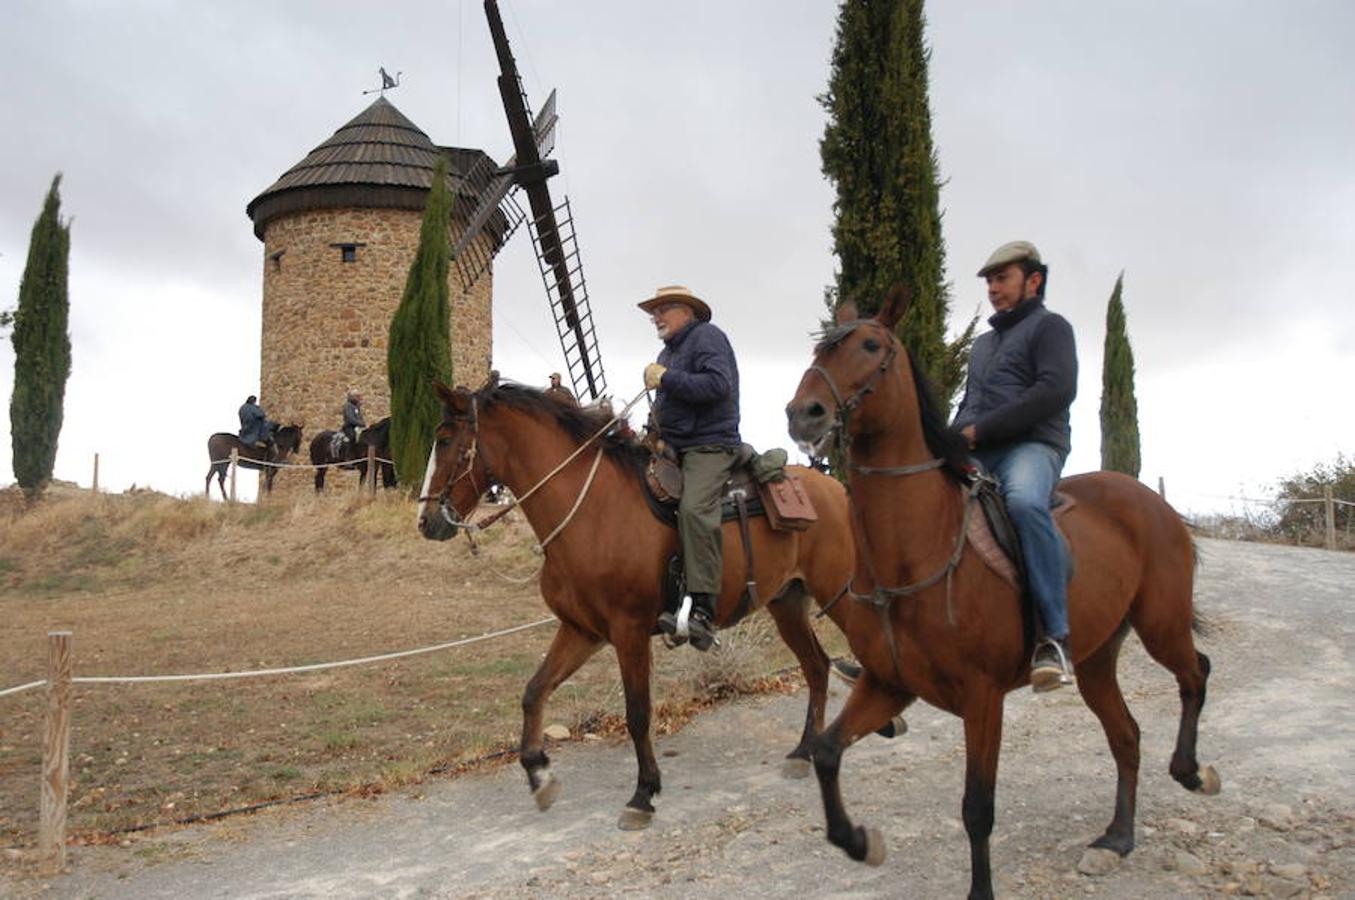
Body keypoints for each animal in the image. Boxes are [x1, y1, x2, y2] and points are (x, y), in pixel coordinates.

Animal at [411, 376, 856, 829]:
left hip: (841, 595)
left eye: (444, 439)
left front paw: (643, 793)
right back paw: (803, 751)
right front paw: (538, 772)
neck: (590, 511)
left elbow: (638, 713)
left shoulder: (630, 633)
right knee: (817, 666)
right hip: (787, 604)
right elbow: (534, 691)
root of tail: (835, 488)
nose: (426, 522)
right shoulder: (582, 631)